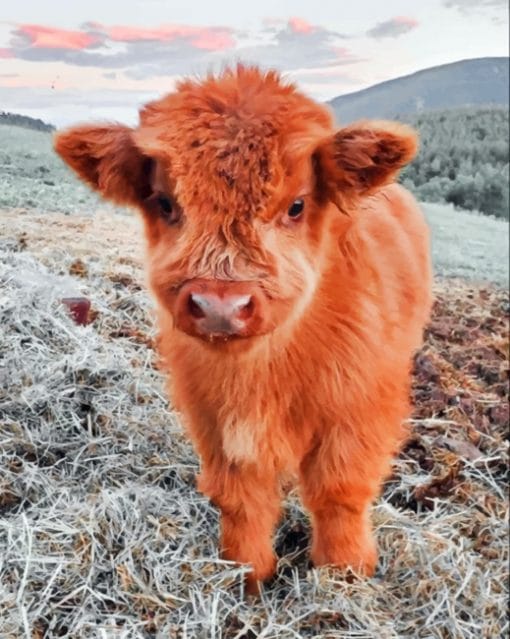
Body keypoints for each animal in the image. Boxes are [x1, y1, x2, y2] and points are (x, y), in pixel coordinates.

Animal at [54, 66, 430, 596]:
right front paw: (246, 576)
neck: (263, 374)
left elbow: (339, 491)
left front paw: (344, 574)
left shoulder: (360, 409)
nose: (220, 306)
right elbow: (241, 498)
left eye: (296, 205)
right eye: (165, 202)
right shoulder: (213, 417)